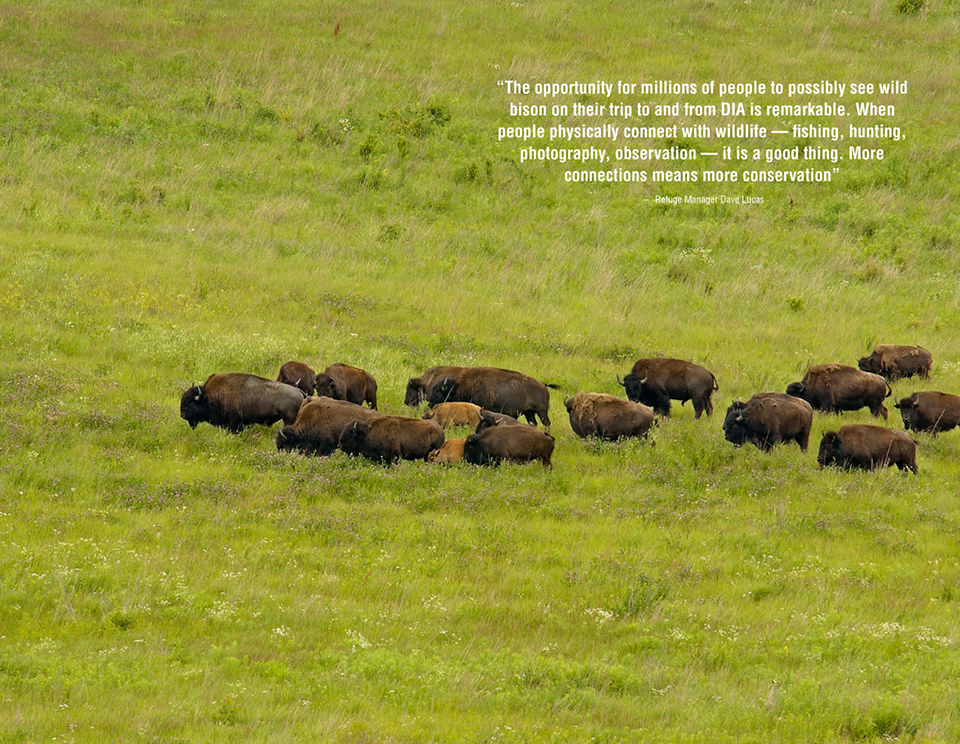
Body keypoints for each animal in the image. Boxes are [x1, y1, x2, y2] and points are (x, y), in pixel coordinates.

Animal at [428, 366, 556, 430]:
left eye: (438, 392)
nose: (429, 403)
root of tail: (543, 384)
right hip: (529, 412)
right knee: (534, 423)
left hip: (541, 412)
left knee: (547, 423)